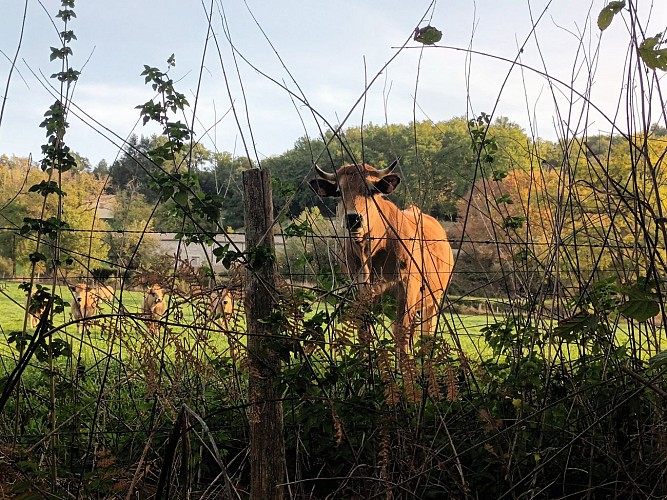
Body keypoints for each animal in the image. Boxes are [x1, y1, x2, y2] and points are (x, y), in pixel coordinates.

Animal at [310, 160, 456, 352]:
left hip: (433, 300)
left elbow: (401, 335)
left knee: (426, 335)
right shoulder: (359, 293)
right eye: (338, 192)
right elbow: (364, 332)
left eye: (371, 190)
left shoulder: (407, 289)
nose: (353, 218)